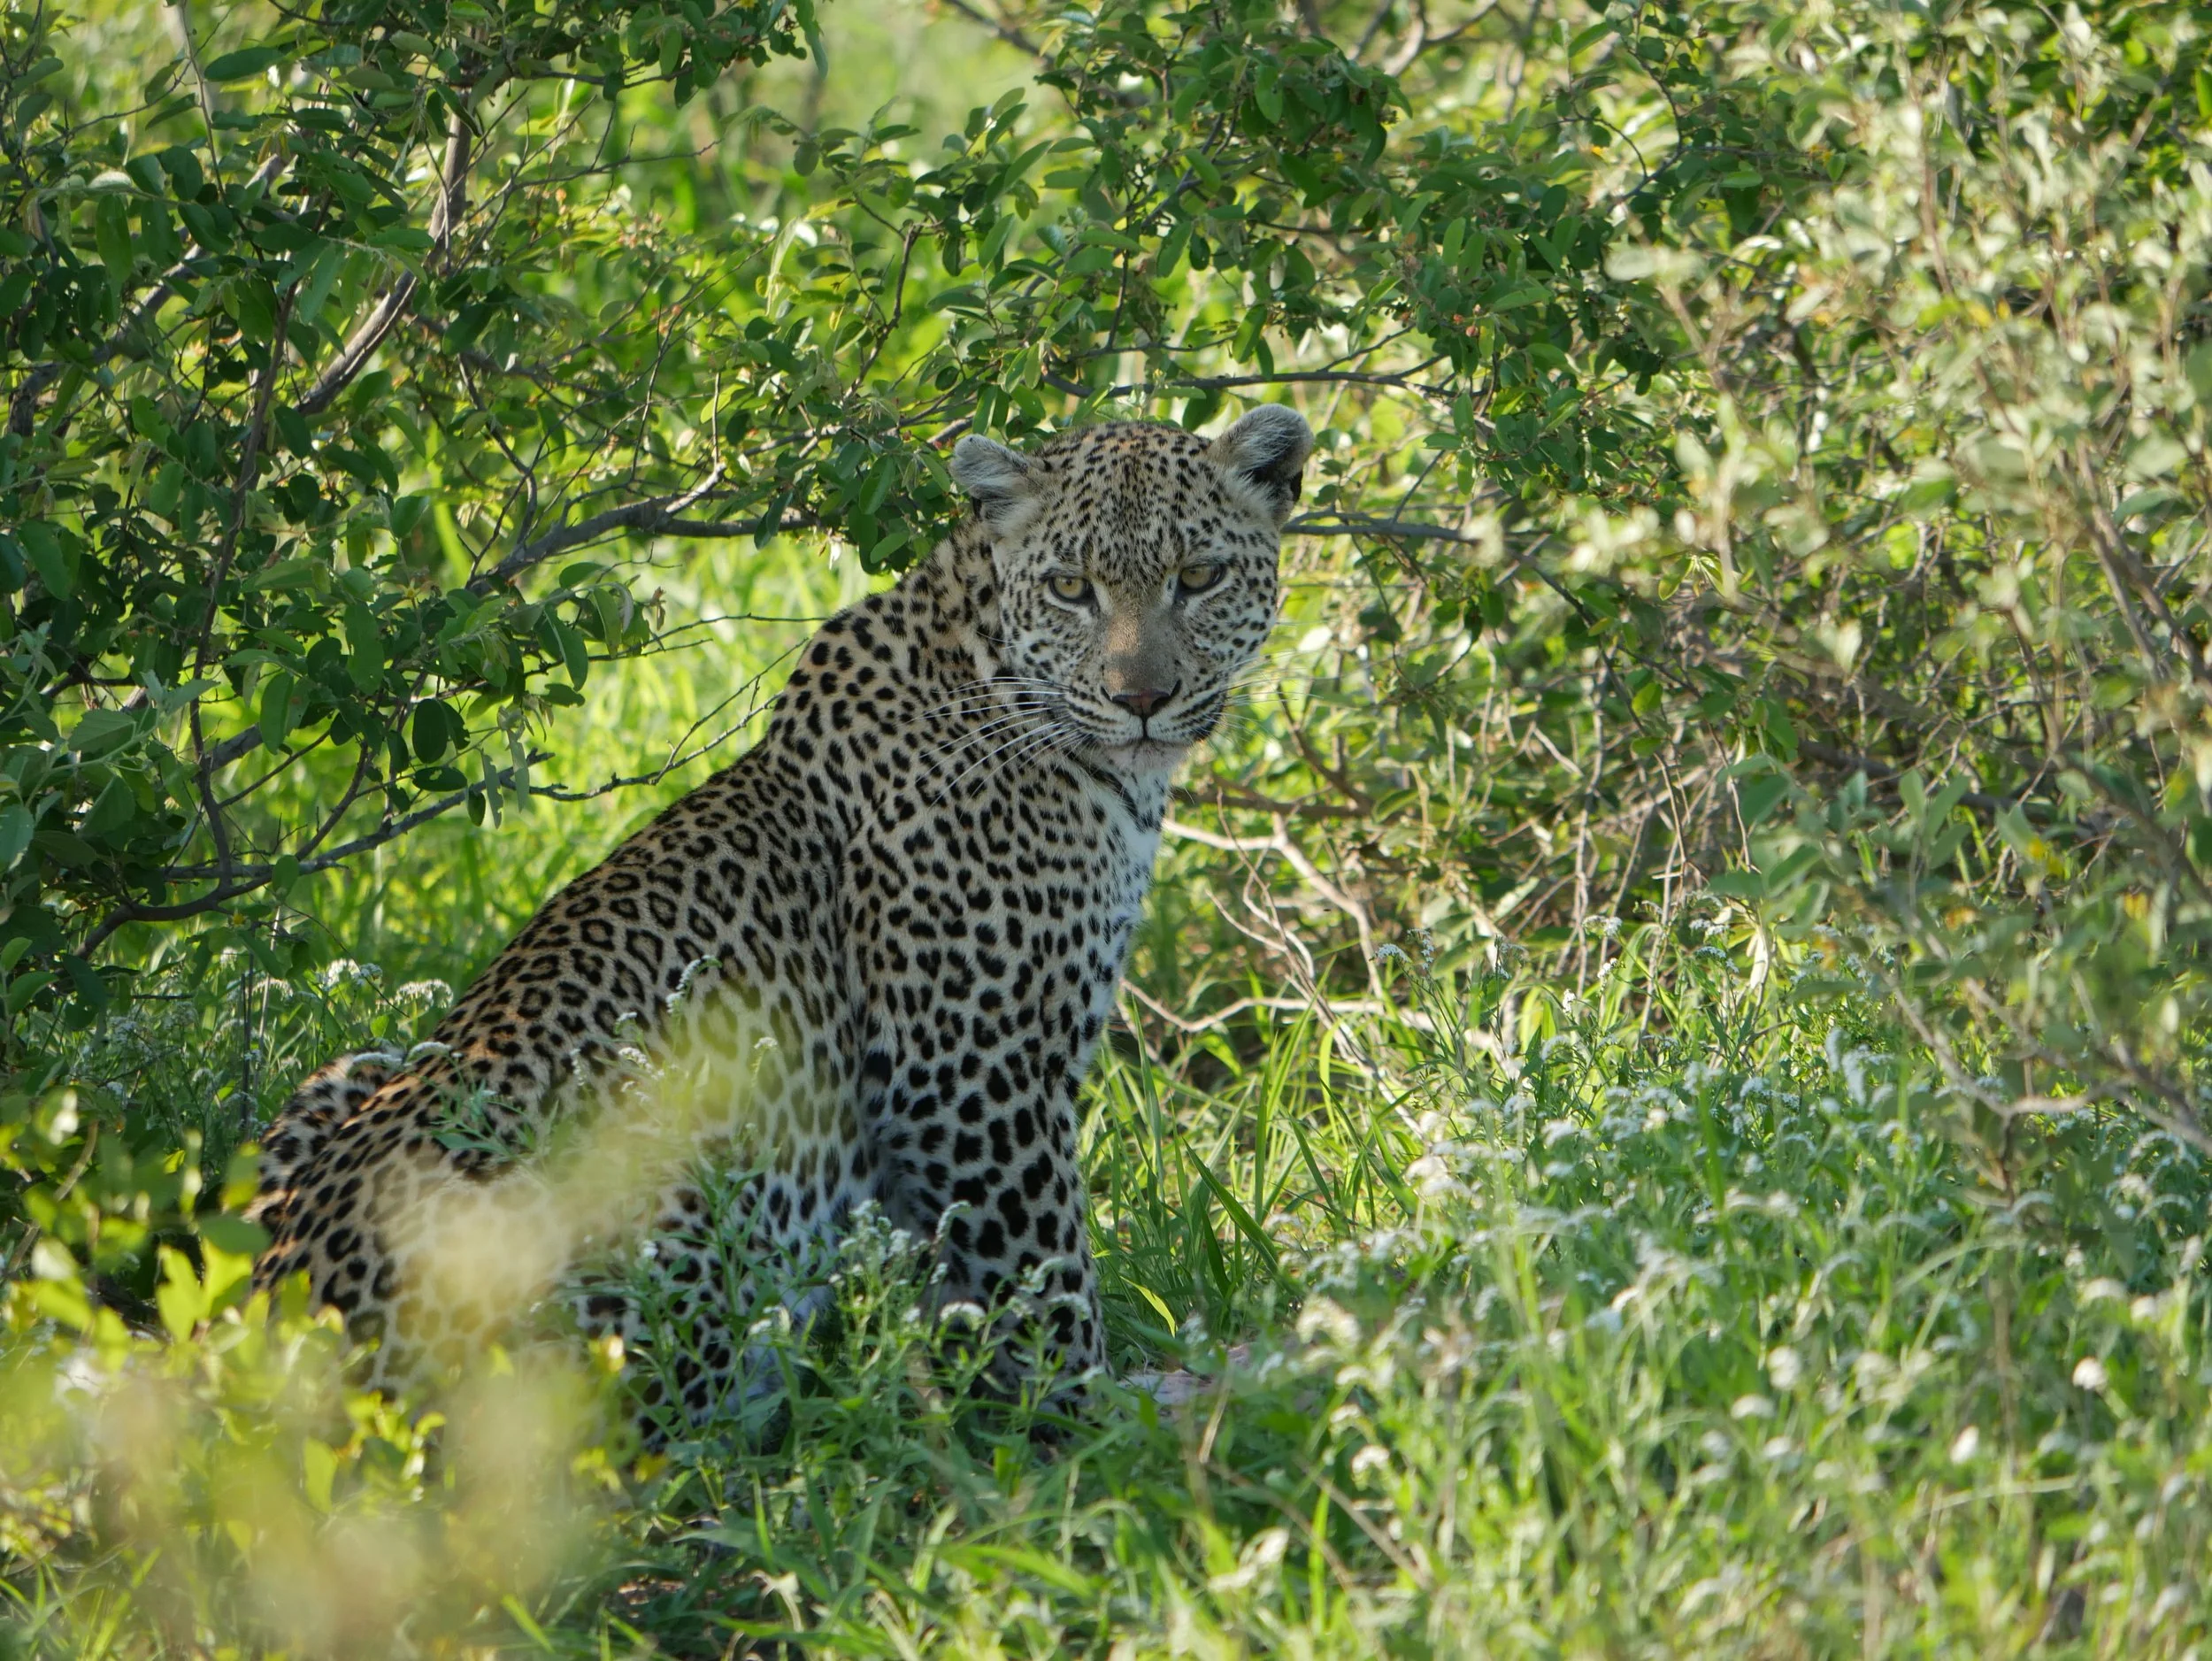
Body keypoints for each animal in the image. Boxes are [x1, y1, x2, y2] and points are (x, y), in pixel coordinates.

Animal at [248, 407, 1312, 1423]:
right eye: (1069, 588)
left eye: (1199, 577)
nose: (1142, 698)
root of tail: (294, 1354)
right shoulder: (971, 1070)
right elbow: (1045, 1275)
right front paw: (1106, 1412)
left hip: (343, 1076)